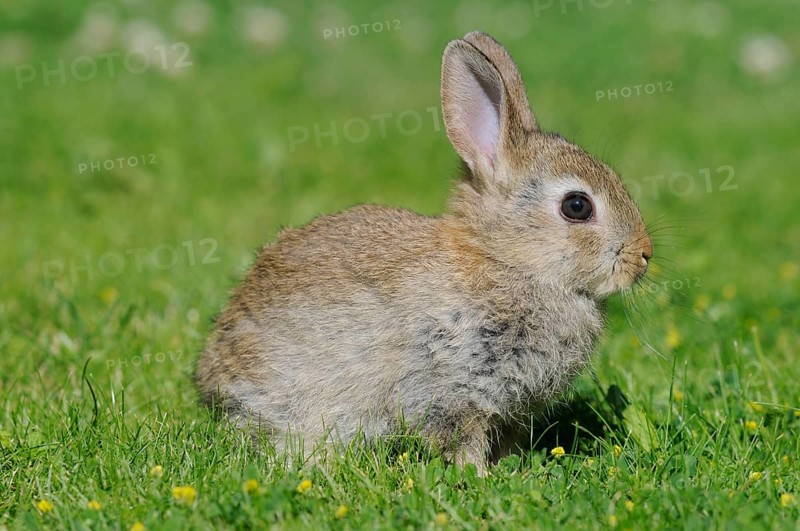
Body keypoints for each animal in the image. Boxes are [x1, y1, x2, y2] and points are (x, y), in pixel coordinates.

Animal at [195, 31, 653, 475]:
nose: (643, 256)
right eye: (577, 206)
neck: (509, 261)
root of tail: (210, 379)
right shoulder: (451, 386)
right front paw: (480, 477)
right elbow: (463, 437)